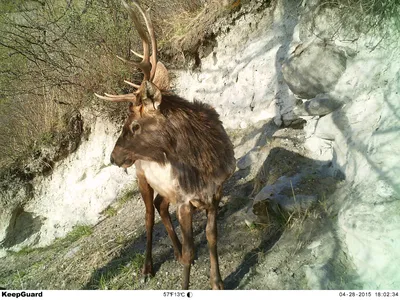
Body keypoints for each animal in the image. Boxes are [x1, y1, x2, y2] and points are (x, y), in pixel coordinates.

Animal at [95, 0, 236, 290]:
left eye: (135, 125)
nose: (113, 157)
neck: (205, 166)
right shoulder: (184, 200)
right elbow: (191, 252)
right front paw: (186, 284)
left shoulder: (215, 192)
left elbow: (212, 237)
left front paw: (217, 282)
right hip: (141, 178)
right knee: (149, 216)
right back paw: (148, 267)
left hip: (164, 187)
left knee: (161, 206)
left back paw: (175, 250)